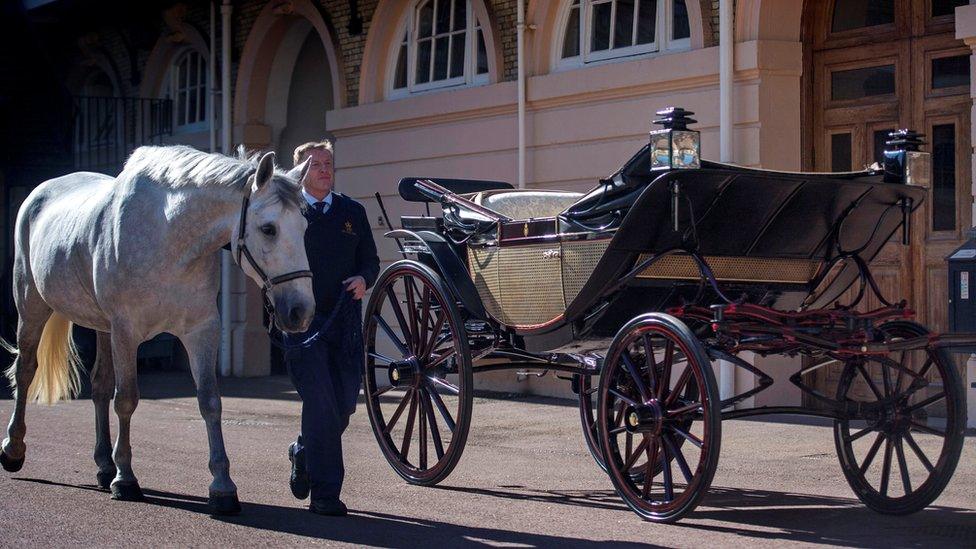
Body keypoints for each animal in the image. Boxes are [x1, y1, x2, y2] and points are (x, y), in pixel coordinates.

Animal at [0, 146, 312, 512]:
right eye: (268, 228)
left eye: (305, 226)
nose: (301, 311)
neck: (168, 237)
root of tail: (40, 191)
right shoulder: (126, 331)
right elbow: (126, 399)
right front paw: (126, 480)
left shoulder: (201, 331)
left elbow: (210, 401)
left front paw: (222, 487)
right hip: (32, 307)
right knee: (25, 370)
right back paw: (14, 449)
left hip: (102, 328)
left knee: (99, 386)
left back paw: (104, 465)